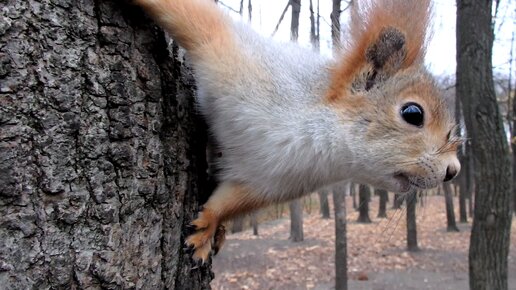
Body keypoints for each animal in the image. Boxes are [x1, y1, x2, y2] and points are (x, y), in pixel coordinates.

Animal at [135, 0, 462, 262]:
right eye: (412, 113)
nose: (453, 171)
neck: (316, 144)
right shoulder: (237, 58)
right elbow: (198, 22)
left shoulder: (269, 183)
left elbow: (228, 201)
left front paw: (210, 225)